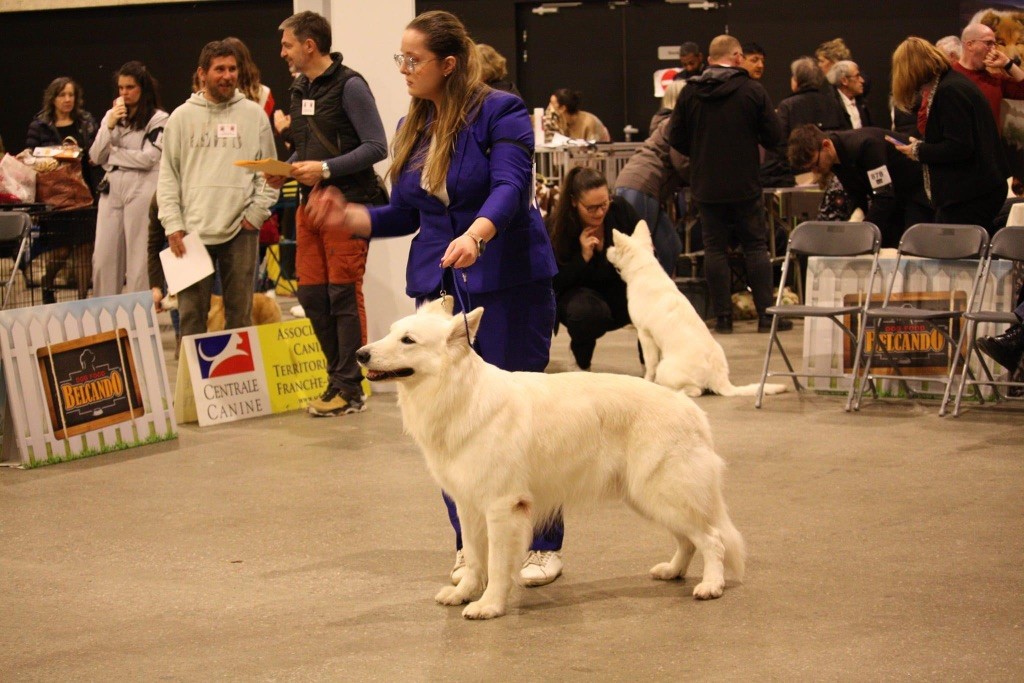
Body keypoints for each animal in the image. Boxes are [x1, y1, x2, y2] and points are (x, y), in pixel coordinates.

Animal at [356, 299, 744, 620]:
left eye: (408, 340)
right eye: (390, 333)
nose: (360, 354)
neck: (461, 395)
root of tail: (691, 408)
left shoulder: (502, 507)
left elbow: (497, 564)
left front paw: (489, 605)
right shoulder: (467, 506)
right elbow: (475, 557)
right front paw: (464, 592)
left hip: (662, 493)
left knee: (711, 539)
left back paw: (711, 585)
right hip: (648, 498)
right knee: (688, 539)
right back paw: (673, 571)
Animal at [605, 221, 787, 398]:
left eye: (614, 246)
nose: (606, 249)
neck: (643, 268)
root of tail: (720, 381)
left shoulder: (645, 335)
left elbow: (650, 365)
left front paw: (647, 381)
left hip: (666, 368)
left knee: (695, 391)